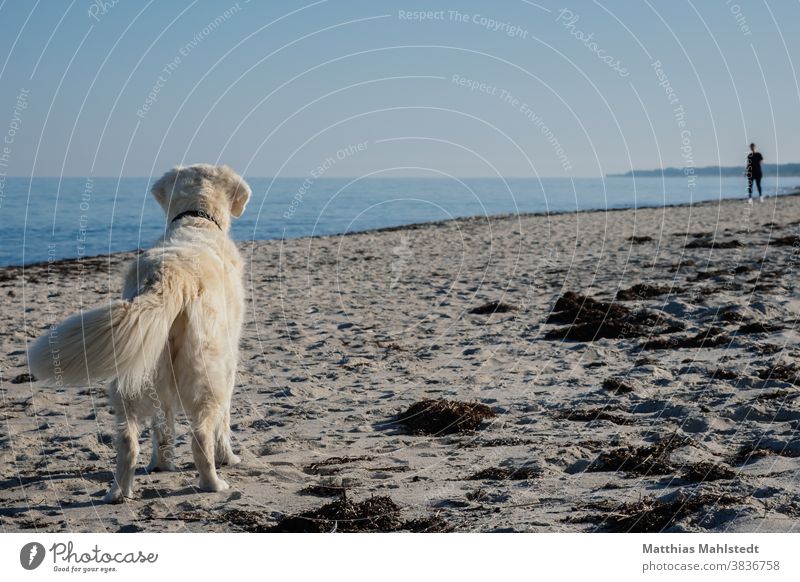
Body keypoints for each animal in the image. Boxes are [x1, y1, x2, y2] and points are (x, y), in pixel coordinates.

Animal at [29, 167, 250, 504]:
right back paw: (213, 483)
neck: (195, 218)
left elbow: (164, 426)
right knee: (200, 436)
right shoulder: (229, 363)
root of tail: (167, 275)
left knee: (128, 441)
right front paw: (229, 457)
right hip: (206, 372)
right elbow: (222, 422)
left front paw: (163, 463)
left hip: (135, 373)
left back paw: (121, 490)